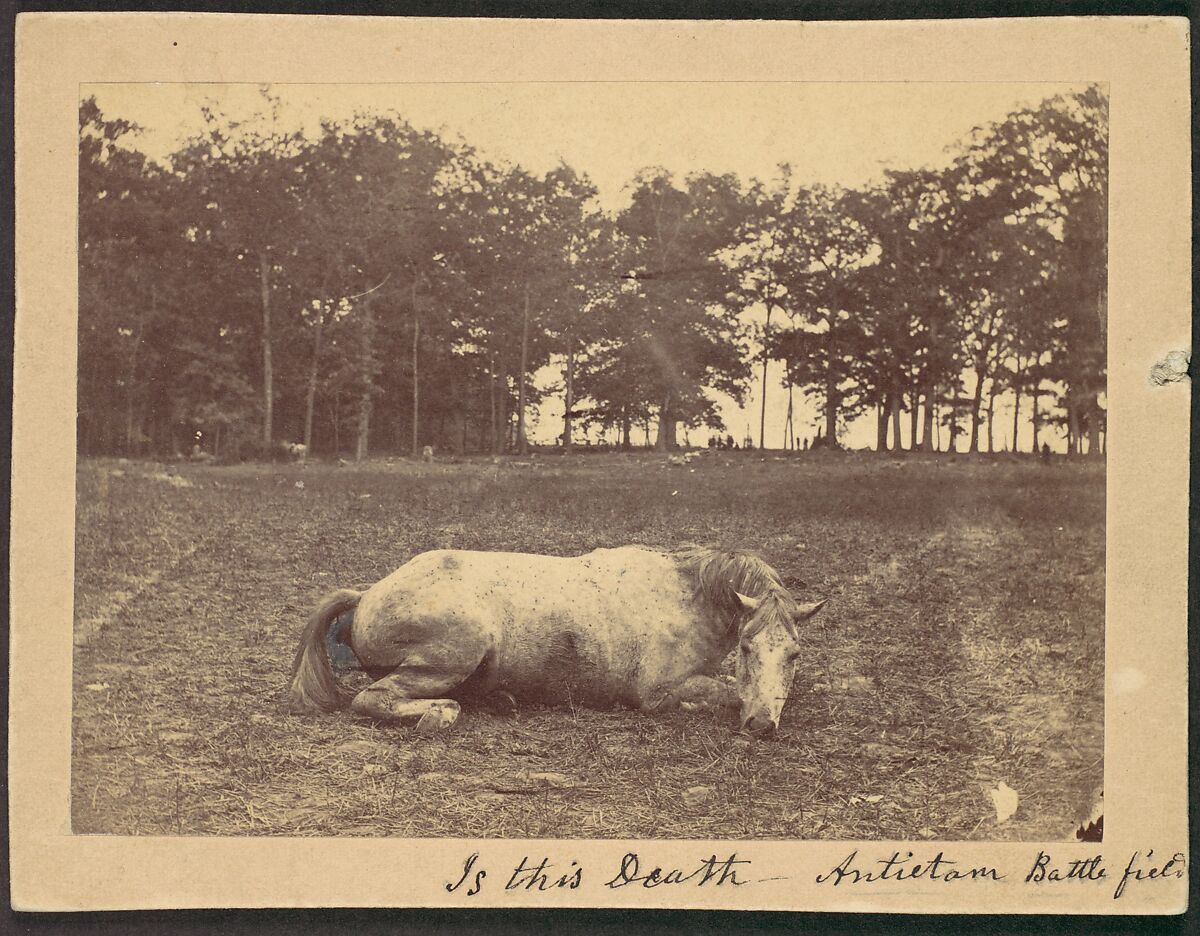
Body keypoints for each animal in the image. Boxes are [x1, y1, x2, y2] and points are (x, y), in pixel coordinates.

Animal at [285, 544, 825, 734]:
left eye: (794, 655)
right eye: (748, 649)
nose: (761, 725)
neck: (686, 596)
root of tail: (368, 594)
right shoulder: (657, 694)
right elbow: (721, 694)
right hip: (451, 655)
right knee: (375, 699)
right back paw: (440, 714)